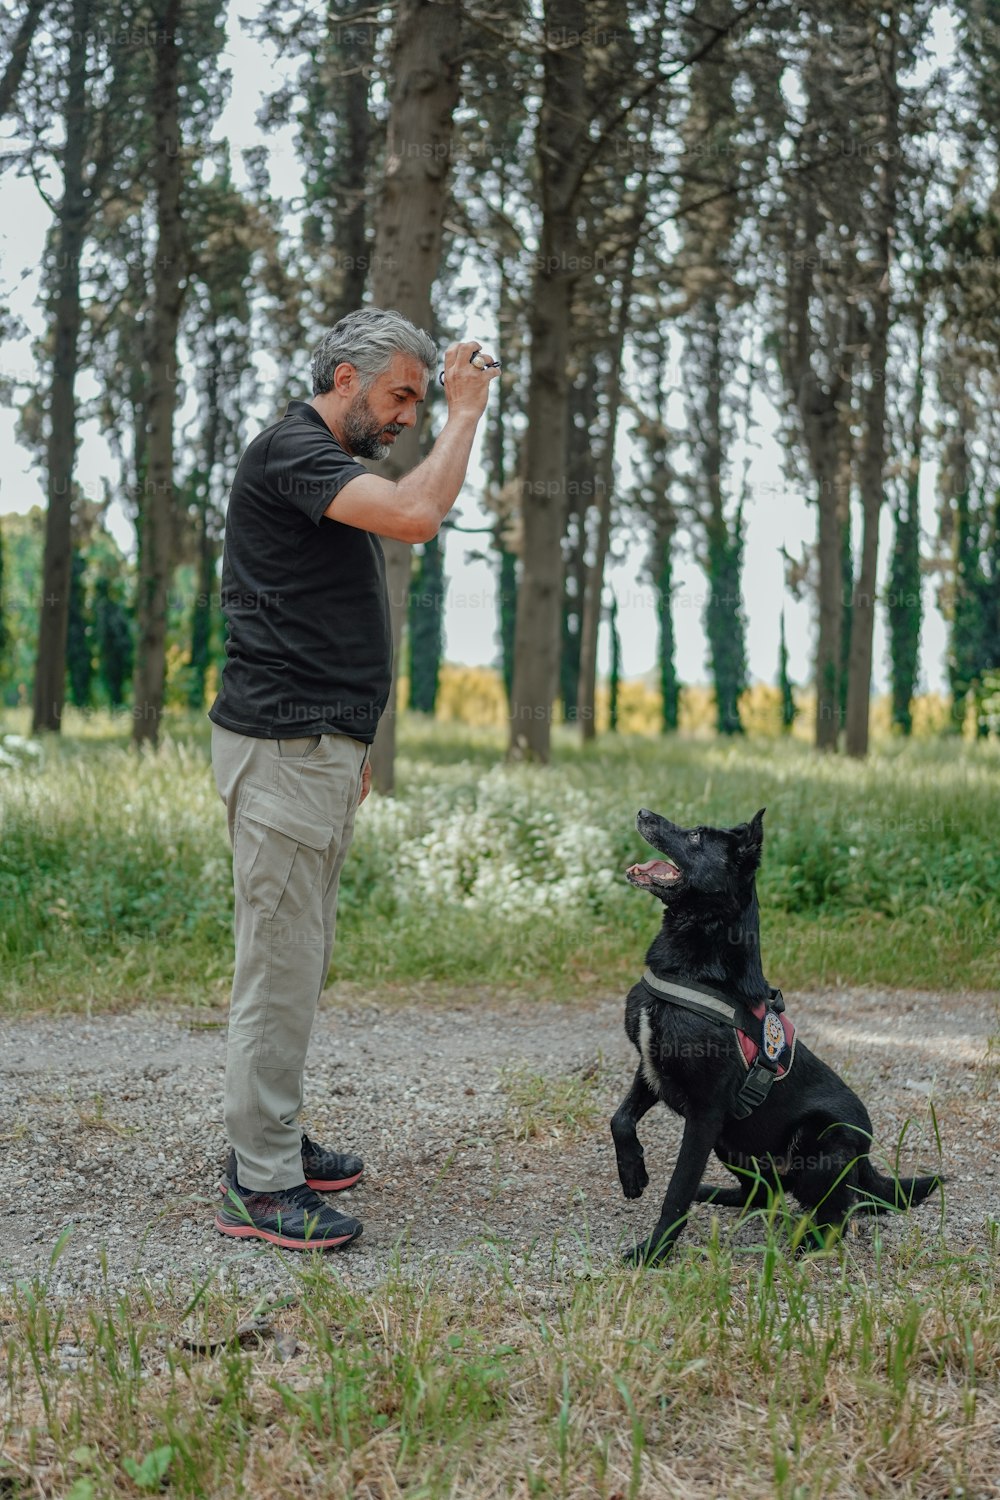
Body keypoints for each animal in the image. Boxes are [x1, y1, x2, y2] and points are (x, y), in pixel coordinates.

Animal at [611, 810, 947, 1266]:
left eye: (696, 836)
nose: (643, 812)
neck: (697, 970)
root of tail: (865, 1158)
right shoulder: (651, 1070)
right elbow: (620, 1120)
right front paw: (633, 1173)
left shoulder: (705, 1114)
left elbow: (676, 1191)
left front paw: (654, 1251)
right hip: (732, 1140)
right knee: (764, 1192)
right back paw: (715, 1193)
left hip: (817, 1144)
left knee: (839, 1212)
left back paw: (810, 1243)